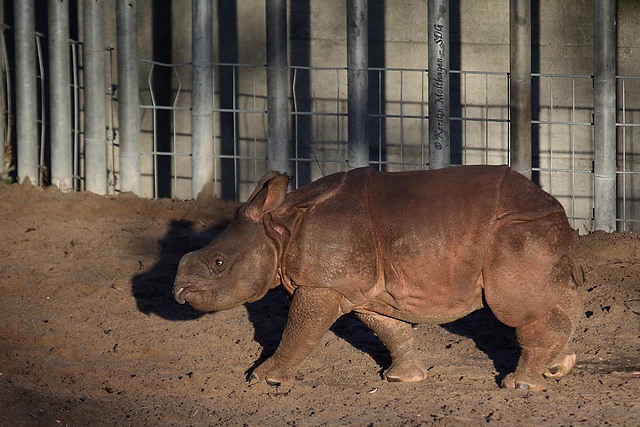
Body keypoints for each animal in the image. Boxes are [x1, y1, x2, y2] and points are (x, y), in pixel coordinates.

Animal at [172, 166, 584, 392]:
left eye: (219, 263)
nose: (179, 291)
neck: (279, 229)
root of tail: (554, 205)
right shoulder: (363, 290)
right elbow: (390, 328)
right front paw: (403, 379)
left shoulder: (322, 284)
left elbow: (299, 330)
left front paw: (265, 378)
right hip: (533, 230)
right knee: (559, 295)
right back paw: (558, 367)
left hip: (515, 231)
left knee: (517, 309)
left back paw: (520, 385)